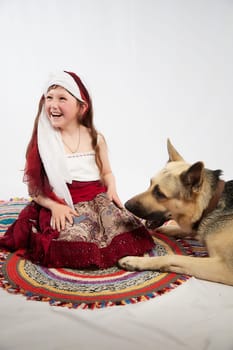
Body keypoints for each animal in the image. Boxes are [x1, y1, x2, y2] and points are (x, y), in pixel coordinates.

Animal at [119, 138, 233, 286]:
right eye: (150, 183)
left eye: (160, 194)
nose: (125, 205)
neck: (211, 203)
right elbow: (189, 231)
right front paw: (169, 229)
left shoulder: (224, 267)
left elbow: (173, 258)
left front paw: (135, 261)